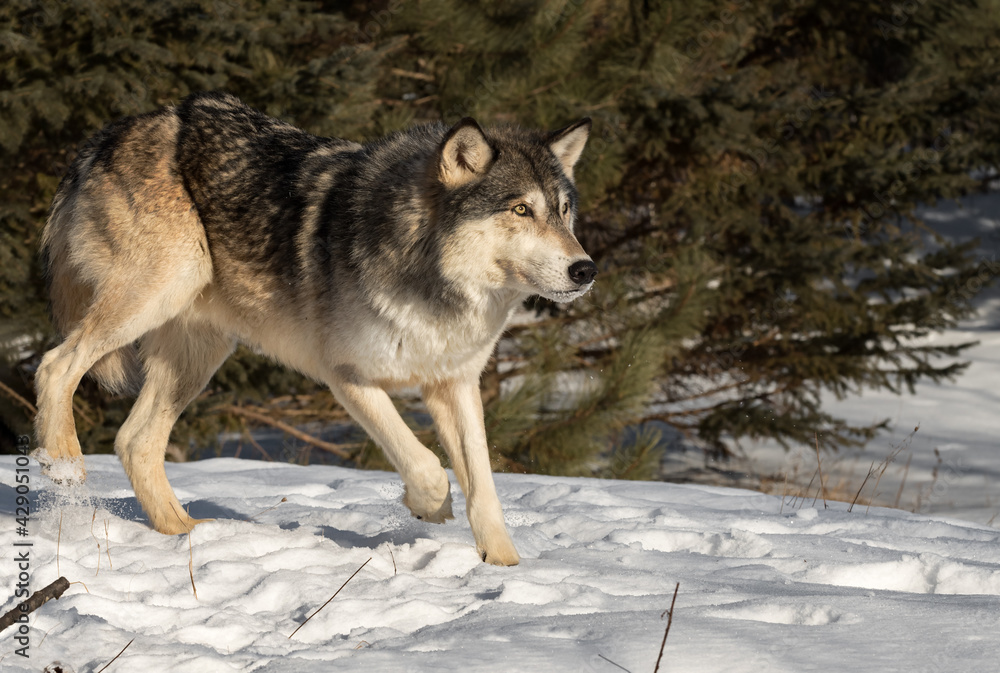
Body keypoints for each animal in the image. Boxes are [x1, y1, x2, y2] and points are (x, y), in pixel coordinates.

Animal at [33, 91, 596, 566]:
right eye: (521, 209)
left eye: (564, 211)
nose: (586, 269)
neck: (430, 275)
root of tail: (107, 135)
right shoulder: (346, 375)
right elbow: (422, 462)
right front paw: (431, 507)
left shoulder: (454, 383)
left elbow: (483, 486)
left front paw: (504, 567)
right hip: (158, 293)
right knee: (55, 365)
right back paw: (64, 462)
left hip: (197, 355)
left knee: (134, 440)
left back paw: (186, 534)